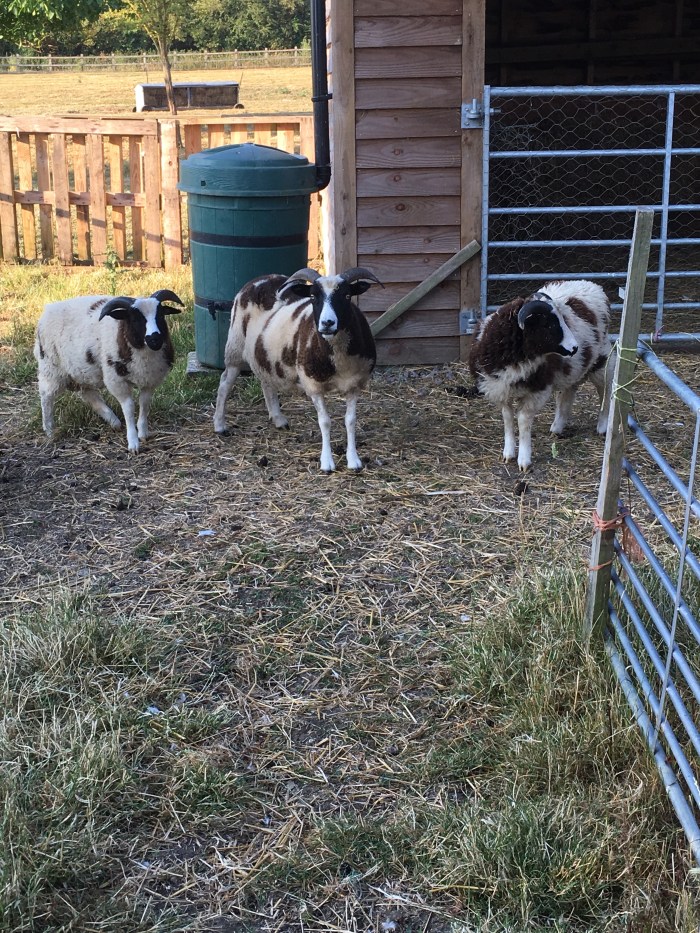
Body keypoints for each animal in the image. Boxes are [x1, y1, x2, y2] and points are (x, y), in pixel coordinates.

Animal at [34, 290, 185, 453]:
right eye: (135, 318)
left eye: (161, 315)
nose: (155, 339)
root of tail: (48, 309)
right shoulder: (116, 379)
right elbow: (129, 407)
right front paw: (133, 442)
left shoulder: (150, 378)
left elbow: (144, 404)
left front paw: (143, 433)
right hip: (51, 367)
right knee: (46, 396)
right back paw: (49, 429)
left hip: (80, 371)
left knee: (89, 395)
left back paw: (114, 421)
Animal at [213, 267, 382, 472]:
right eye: (313, 297)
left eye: (347, 295)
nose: (327, 323)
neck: (337, 360)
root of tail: (261, 278)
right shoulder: (313, 386)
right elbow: (325, 422)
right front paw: (327, 462)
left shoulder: (354, 384)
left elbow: (350, 421)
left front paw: (354, 460)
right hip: (235, 347)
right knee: (225, 383)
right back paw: (220, 425)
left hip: (264, 354)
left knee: (266, 382)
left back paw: (278, 419)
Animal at [468, 279, 615, 472]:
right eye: (549, 325)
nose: (575, 347)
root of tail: (592, 285)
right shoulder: (501, 388)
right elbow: (507, 419)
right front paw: (508, 453)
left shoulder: (537, 390)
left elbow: (523, 421)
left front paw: (524, 460)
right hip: (573, 367)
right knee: (568, 393)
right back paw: (557, 427)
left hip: (601, 362)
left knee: (605, 392)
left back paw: (603, 426)